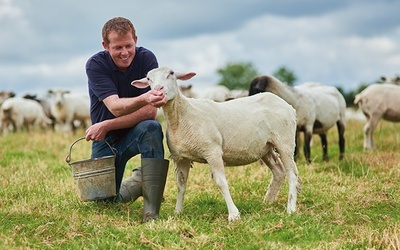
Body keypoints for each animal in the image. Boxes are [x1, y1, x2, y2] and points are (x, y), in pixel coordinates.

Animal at [132, 66, 300, 221]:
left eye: (171, 73)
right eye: (149, 79)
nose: (158, 90)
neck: (181, 116)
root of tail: (287, 105)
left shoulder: (212, 151)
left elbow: (221, 182)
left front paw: (234, 214)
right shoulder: (181, 158)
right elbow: (181, 185)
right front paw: (177, 212)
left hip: (285, 141)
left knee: (292, 173)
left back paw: (290, 208)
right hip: (265, 146)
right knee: (278, 171)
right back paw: (268, 202)